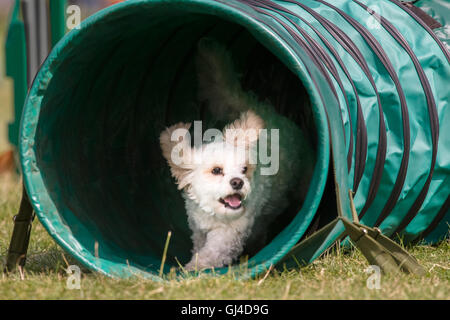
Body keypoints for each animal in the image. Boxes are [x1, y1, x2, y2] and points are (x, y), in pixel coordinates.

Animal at [161, 39, 312, 270]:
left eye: (244, 169)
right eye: (216, 170)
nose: (237, 182)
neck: (214, 212)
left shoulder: (227, 236)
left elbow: (210, 254)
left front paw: (190, 269)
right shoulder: (198, 228)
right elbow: (199, 245)